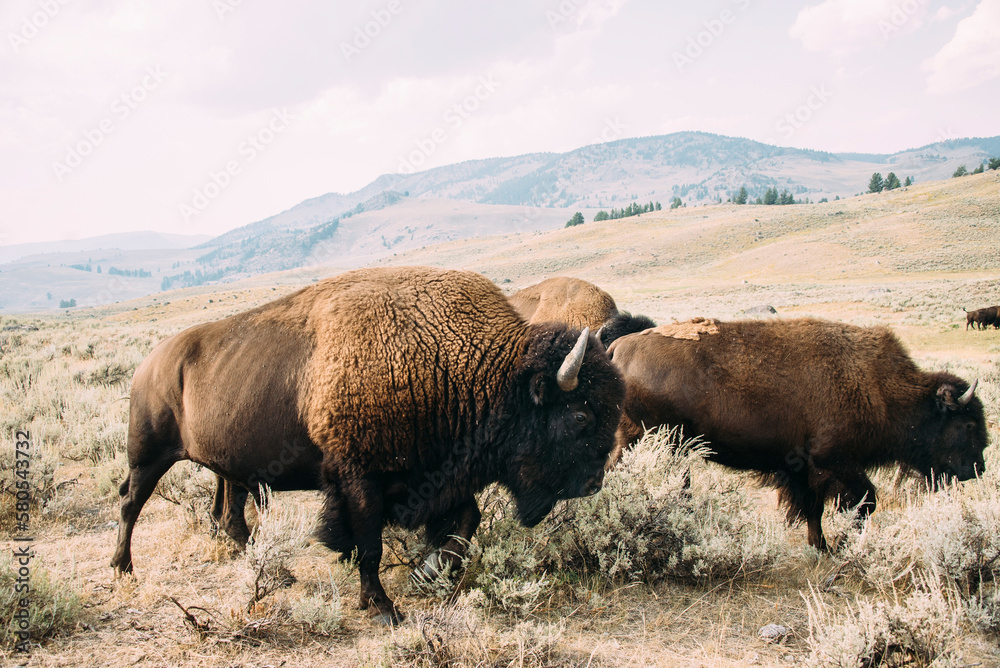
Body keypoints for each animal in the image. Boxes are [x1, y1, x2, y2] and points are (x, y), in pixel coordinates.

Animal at [112, 266, 624, 623]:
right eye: (580, 415)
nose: (594, 483)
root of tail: (148, 365)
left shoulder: (442, 478)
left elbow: (465, 523)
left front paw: (426, 573)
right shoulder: (360, 480)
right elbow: (369, 544)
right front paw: (382, 607)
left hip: (225, 465)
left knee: (228, 513)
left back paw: (275, 572)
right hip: (148, 455)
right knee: (131, 502)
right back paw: (123, 569)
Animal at [609, 317, 987, 550]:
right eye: (968, 424)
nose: (979, 467)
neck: (880, 387)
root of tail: (620, 348)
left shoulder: (804, 470)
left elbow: (812, 508)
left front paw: (820, 546)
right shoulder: (832, 462)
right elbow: (863, 502)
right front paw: (838, 545)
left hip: (641, 440)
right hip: (658, 441)